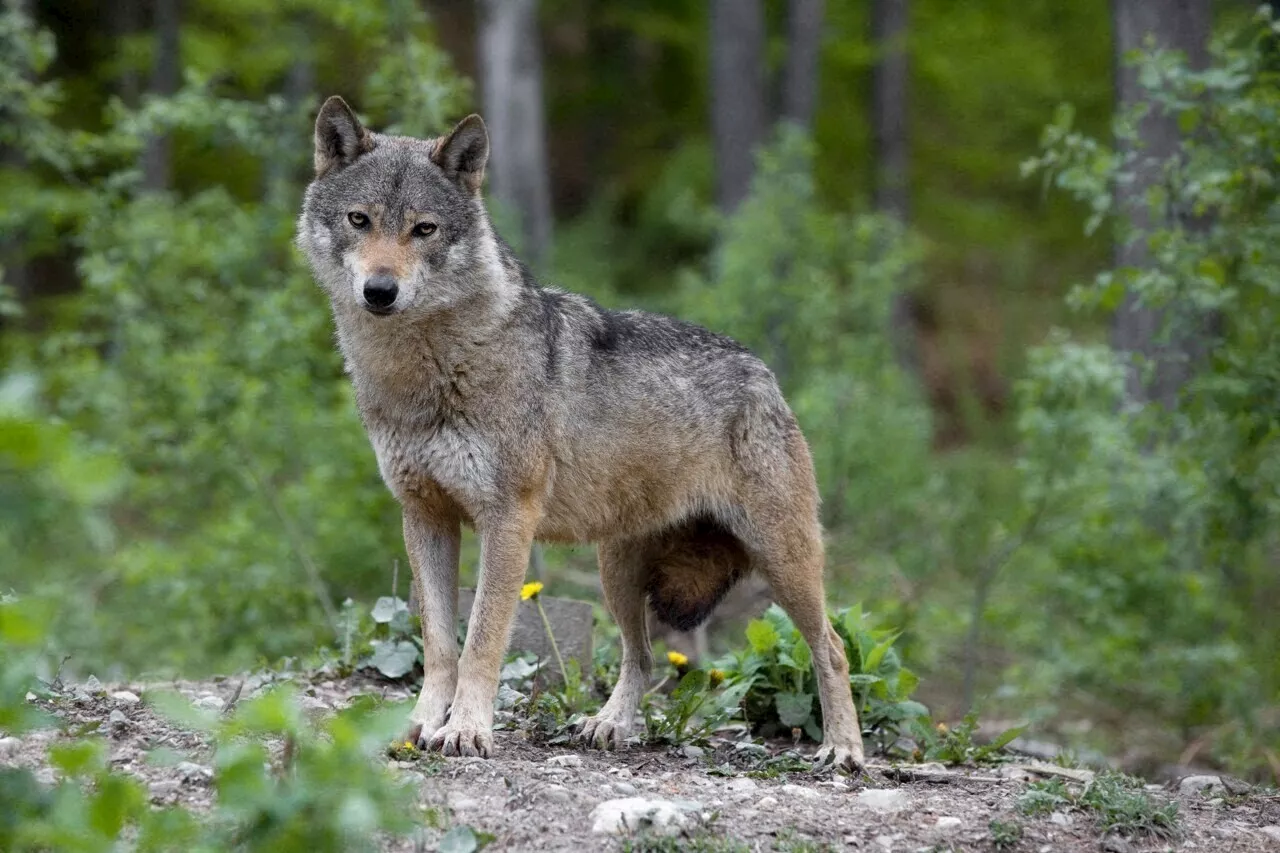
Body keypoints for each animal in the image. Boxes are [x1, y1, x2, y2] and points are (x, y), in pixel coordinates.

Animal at [294, 96, 865, 768]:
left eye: (424, 229)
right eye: (359, 220)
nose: (380, 291)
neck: (425, 374)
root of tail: (764, 372)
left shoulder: (507, 520)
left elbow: (481, 638)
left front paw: (466, 730)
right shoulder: (424, 515)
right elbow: (438, 643)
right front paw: (419, 725)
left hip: (782, 560)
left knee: (831, 646)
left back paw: (844, 750)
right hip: (616, 572)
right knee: (642, 657)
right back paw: (609, 726)